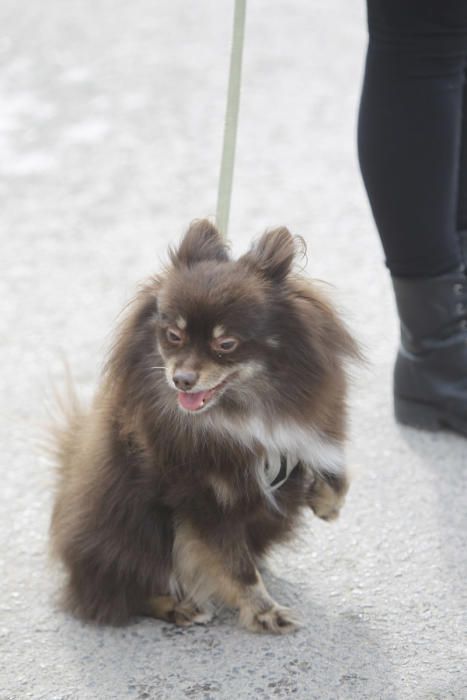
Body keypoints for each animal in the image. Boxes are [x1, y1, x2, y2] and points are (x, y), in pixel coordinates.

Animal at [50, 220, 358, 636]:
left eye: (225, 343)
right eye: (173, 336)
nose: (181, 379)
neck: (240, 407)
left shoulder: (305, 426)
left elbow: (336, 469)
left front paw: (327, 503)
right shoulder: (204, 497)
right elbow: (236, 566)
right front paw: (265, 613)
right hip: (131, 529)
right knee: (126, 586)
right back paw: (176, 605)